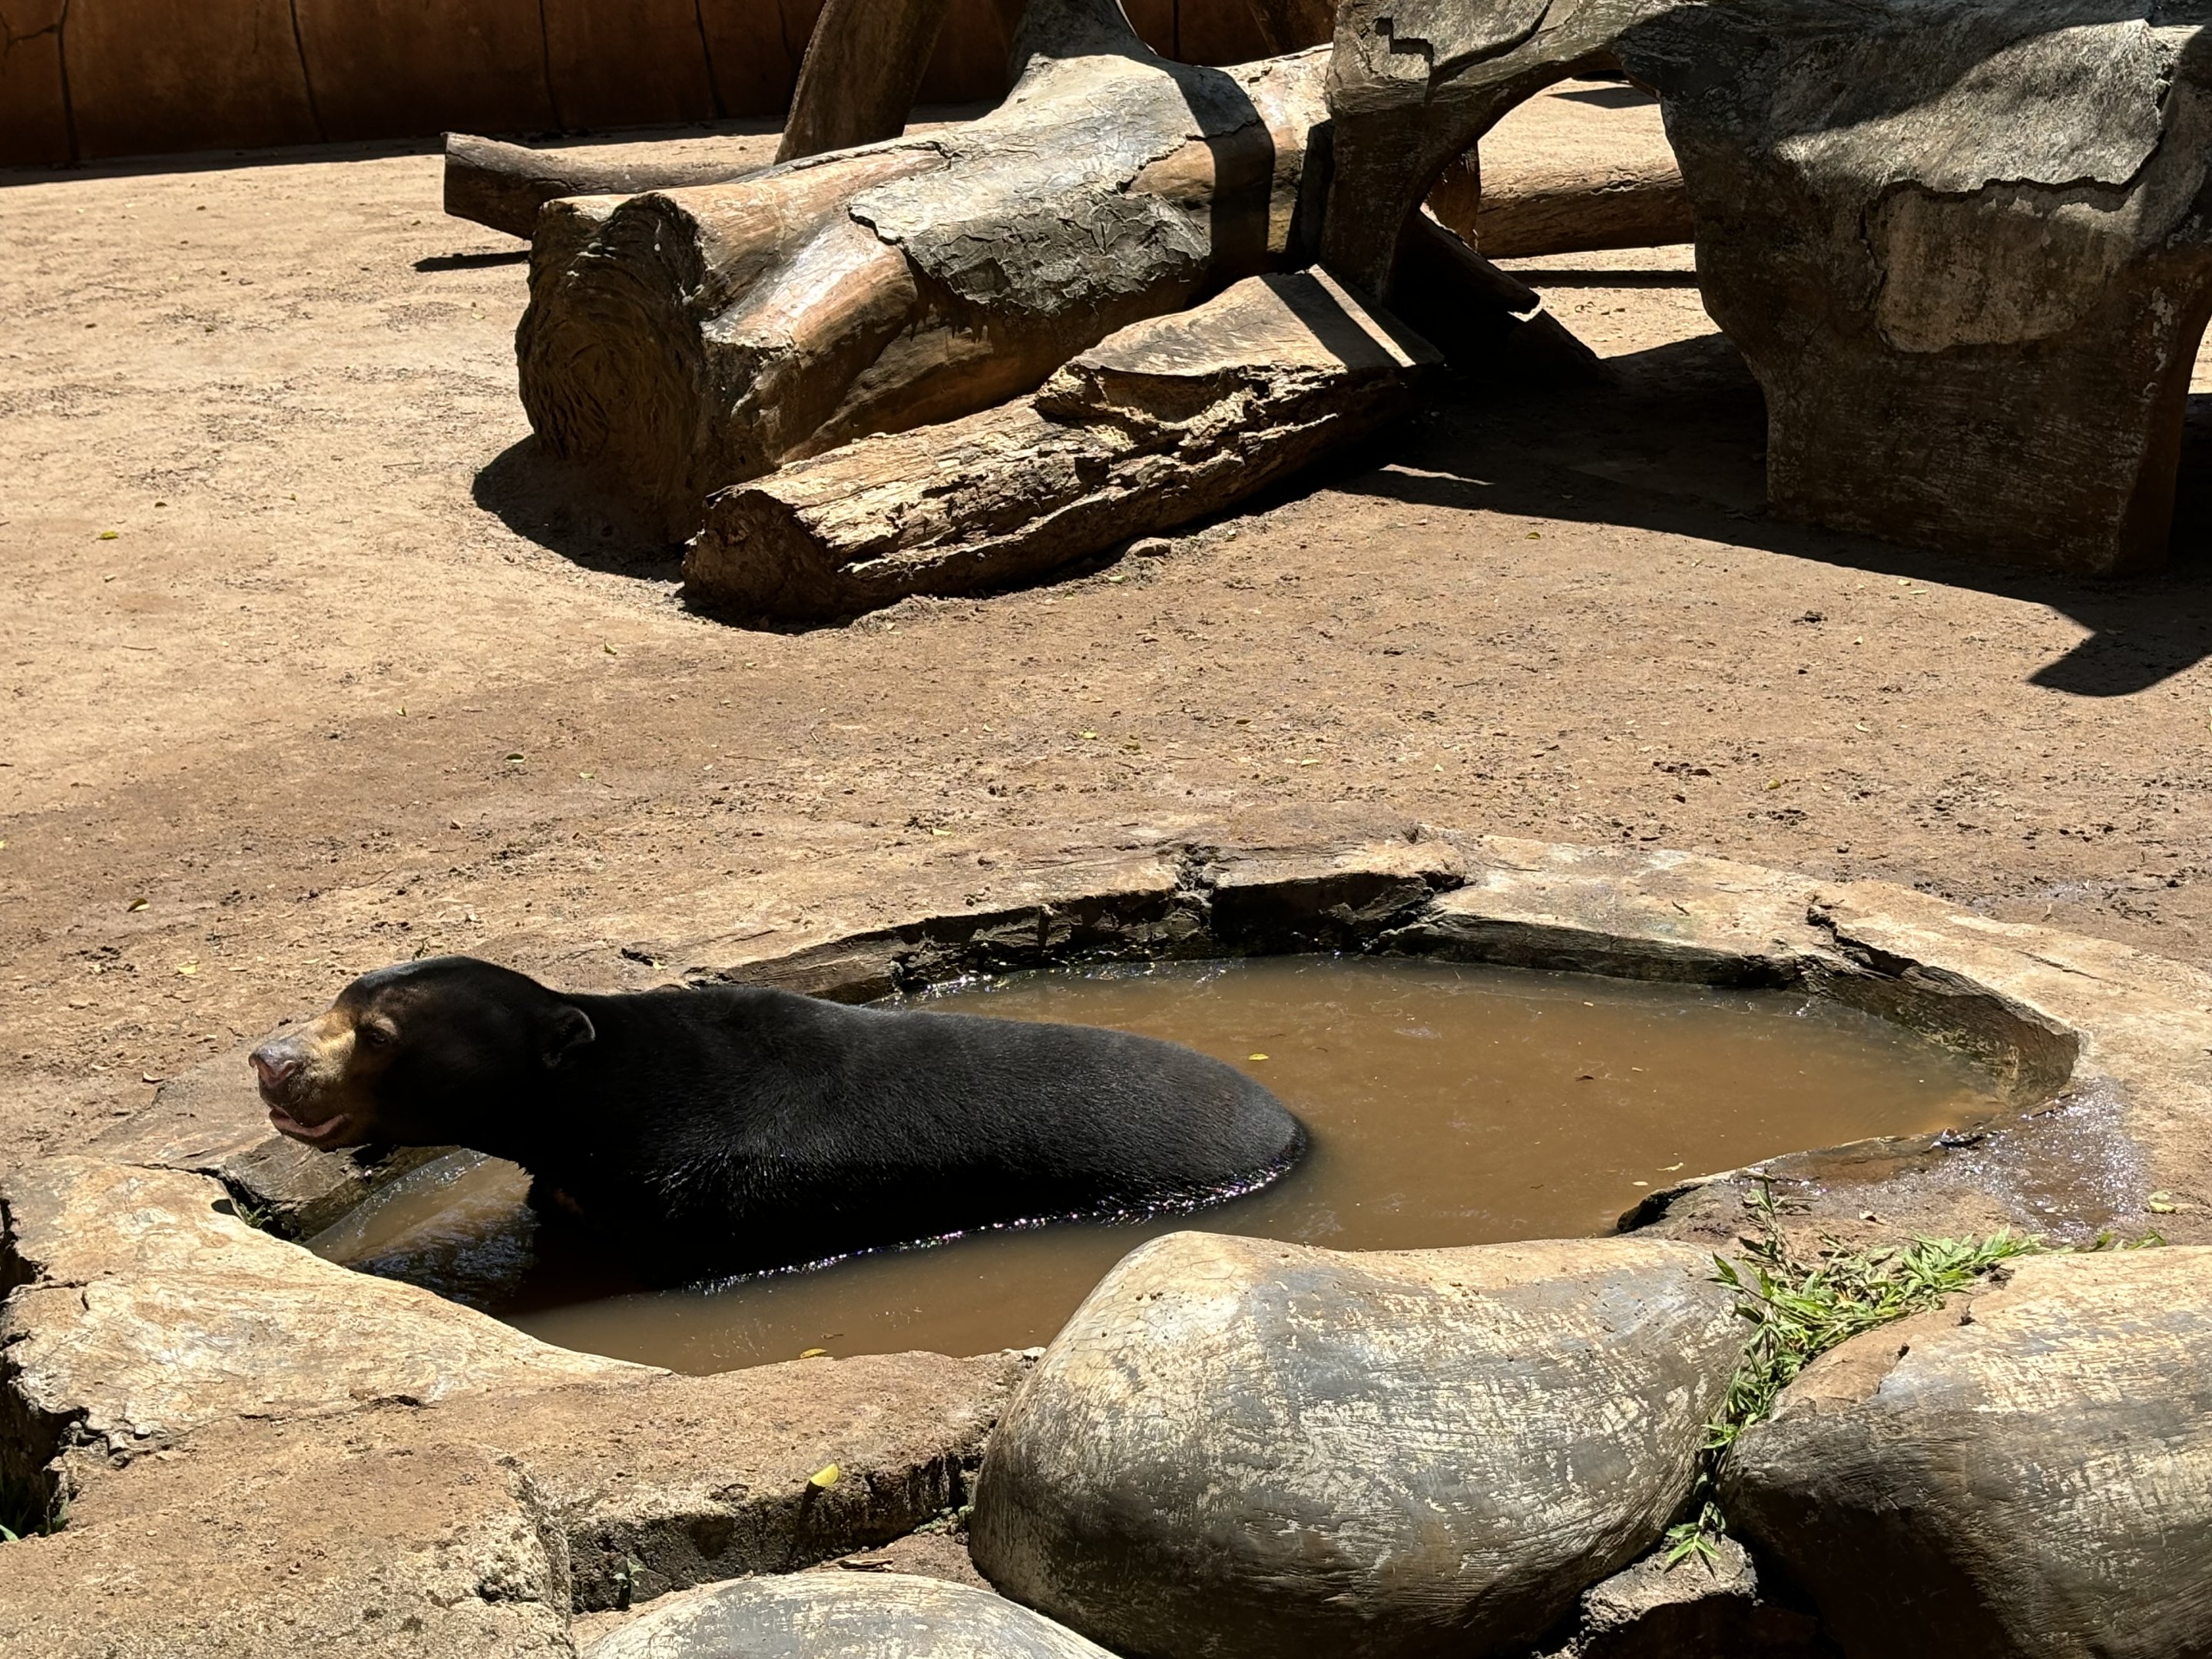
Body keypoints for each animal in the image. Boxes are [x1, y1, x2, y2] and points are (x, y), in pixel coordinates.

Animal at [250, 955, 1307, 1282]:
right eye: (335, 1003)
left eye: (376, 1034)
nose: (270, 1058)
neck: (585, 1105)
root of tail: (1296, 1128)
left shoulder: (708, 1199)